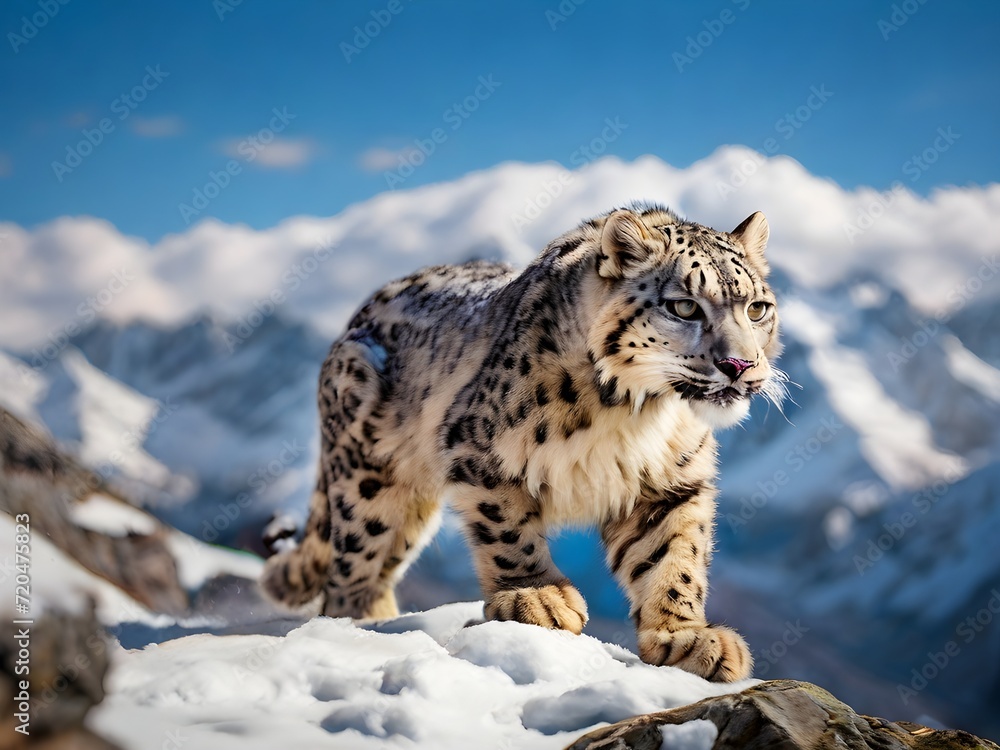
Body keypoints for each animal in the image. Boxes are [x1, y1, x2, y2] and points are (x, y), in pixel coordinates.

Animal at [260, 203, 785, 682]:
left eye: (757, 308)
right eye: (684, 306)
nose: (740, 365)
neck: (640, 414)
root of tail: (355, 318)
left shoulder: (671, 484)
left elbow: (673, 558)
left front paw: (686, 638)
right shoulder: (481, 451)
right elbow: (507, 528)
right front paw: (537, 597)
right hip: (368, 478)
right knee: (352, 567)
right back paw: (360, 627)